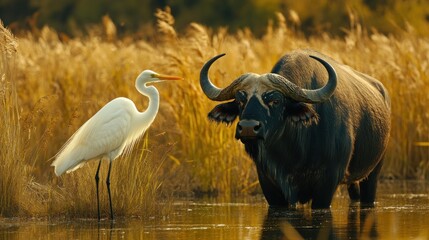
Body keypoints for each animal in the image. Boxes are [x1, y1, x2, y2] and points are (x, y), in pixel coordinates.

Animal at [199, 49, 390, 208]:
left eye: (276, 100)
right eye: (240, 101)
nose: (247, 128)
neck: (296, 150)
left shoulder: (328, 181)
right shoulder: (269, 183)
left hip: (374, 172)